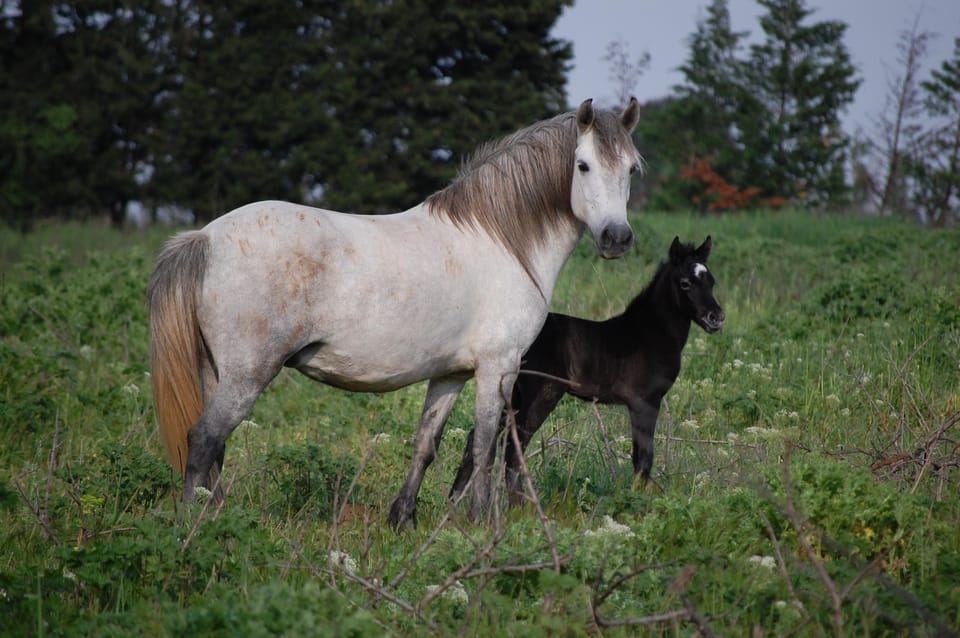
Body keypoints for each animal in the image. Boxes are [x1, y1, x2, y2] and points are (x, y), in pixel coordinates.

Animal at [147, 98, 642, 530]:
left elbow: (427, 444)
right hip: (247, 375)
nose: (617, 238)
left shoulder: (450, 375)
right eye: (583, 165)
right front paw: (481, 522)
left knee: (216, 448)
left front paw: (403, 519)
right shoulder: (497, 368)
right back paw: (192, 526)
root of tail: (205, 238)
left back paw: (218, 514)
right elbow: (483, 445)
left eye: (631, 169)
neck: (502, 241)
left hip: (217, 373)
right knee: (203, 440)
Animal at [450, 236, 724, 503]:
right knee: (513, 451)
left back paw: (453, 504)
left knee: (477, 441)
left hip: (512, 395)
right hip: (541, 396)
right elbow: (643, 460)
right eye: (685, 283)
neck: (650, 334)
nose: (717, 318)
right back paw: (519, 509)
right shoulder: (644, 402)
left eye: (711, 281)